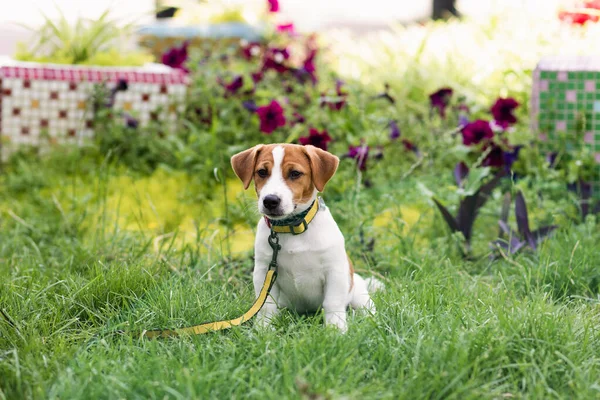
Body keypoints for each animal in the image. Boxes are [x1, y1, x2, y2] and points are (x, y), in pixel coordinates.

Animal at [232, 144, 382, 332]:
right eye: (262, 172)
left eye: (295, 173)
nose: (270, 200)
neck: (292, 228)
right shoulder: (264, 270)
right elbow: (266, 304)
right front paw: (264, 329)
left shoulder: (334, 271)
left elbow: (333, 303)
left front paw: (336, 330)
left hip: (358, 293)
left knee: (367, 308)